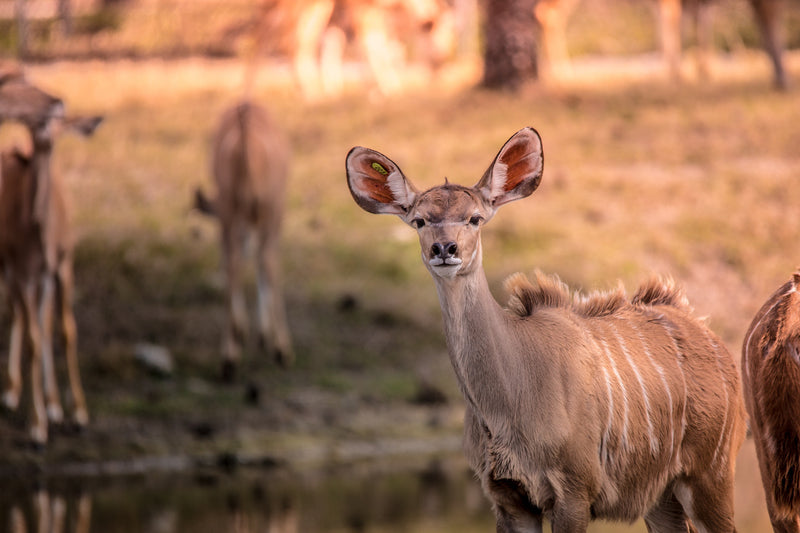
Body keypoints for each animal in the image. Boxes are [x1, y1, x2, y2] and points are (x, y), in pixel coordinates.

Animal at [0, 66, 101, 444]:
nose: (56, 103)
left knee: (40, 321)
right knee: (20, 316)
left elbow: (66, 331)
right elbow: (32, 336)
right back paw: (13, 393)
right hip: (11, 270)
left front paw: (77, 413)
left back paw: (52, 403)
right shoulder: (21, 270)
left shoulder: (62, 264)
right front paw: (37, 426)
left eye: (60, 121)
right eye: (38, 120)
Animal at [195, 101, 293, 379]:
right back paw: (281, 349)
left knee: (234, 262)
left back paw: (230, 357)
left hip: (231, 209)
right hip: (271, 210)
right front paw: (263, 335)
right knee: (266, 260)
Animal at [346, 127, 746, 532]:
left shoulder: (574, 493)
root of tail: (713, 338)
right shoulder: (507, 497)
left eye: (474, 218)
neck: (512, 395)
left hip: (711, 477)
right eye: (420, 221)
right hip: (661, 496)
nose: (445, 249)